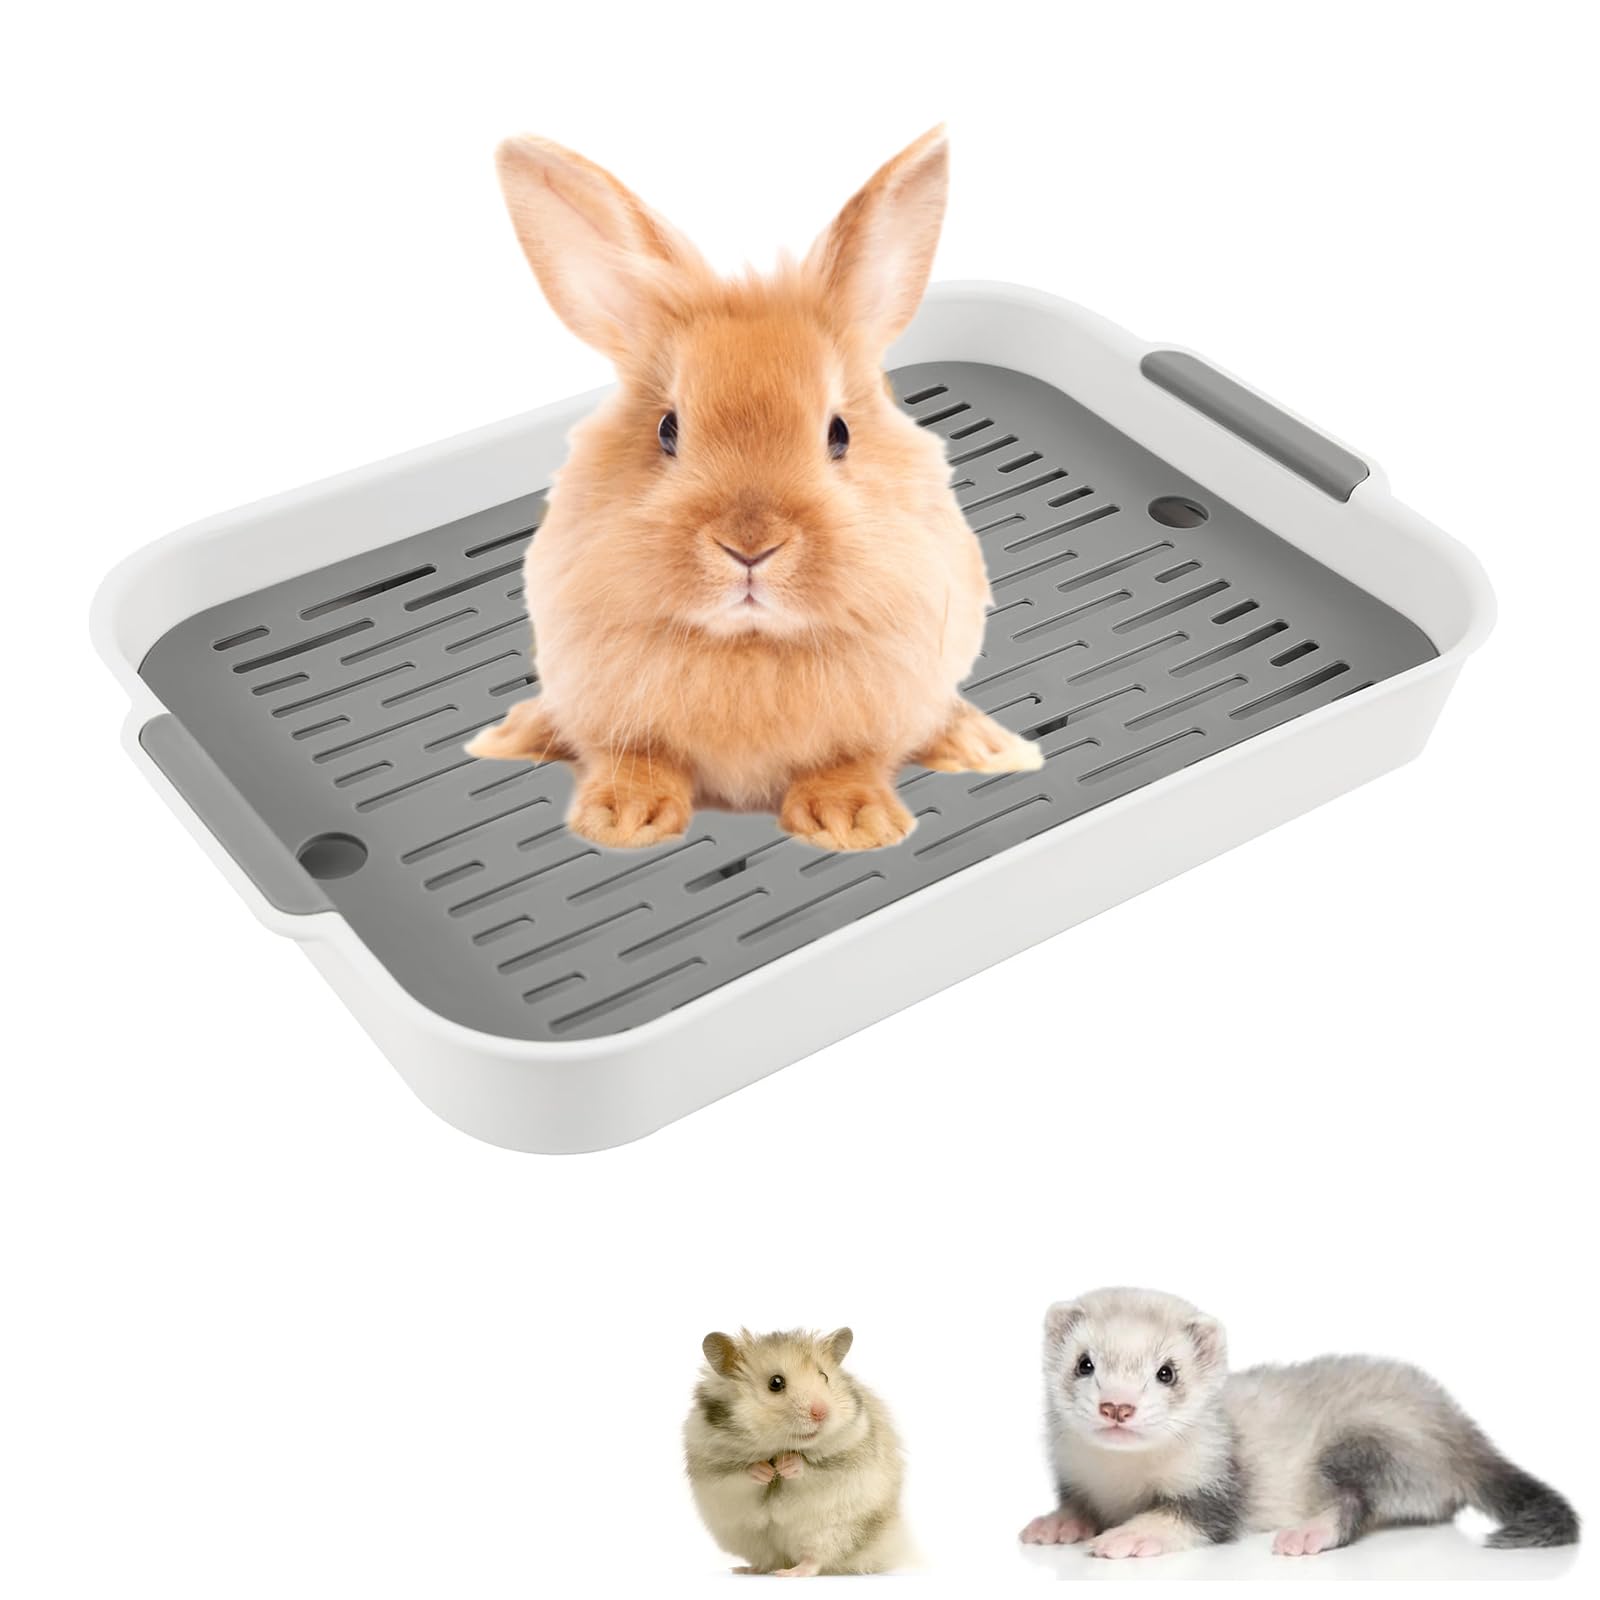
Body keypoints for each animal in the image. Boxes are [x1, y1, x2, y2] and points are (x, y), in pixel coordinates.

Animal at [467, 127, 1042, 851]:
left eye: (839, 433)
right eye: (668, 429)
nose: (749, 546)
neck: (749, 644)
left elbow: (849, 761)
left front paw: (850, 823)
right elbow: (638, 759)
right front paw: (623, 820)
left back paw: (984, 746)